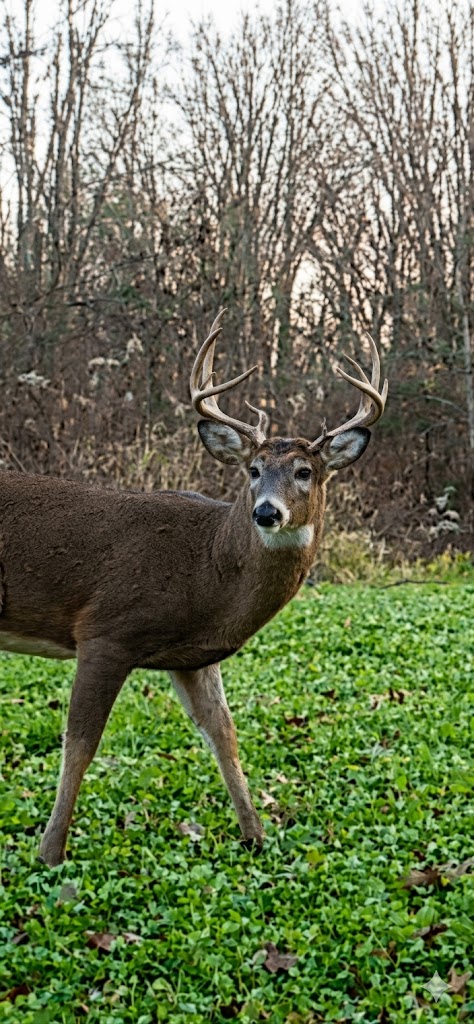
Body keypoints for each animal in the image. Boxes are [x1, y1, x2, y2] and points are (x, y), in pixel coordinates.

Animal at [0, 309, 387, 866]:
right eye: (253, 470)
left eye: (304, 471)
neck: (207, 570)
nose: (266, 512)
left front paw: (255, 836)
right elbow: (80, 745)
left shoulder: (194, 656)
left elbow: (224, 735)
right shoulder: (105, 631)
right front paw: (51, 852)